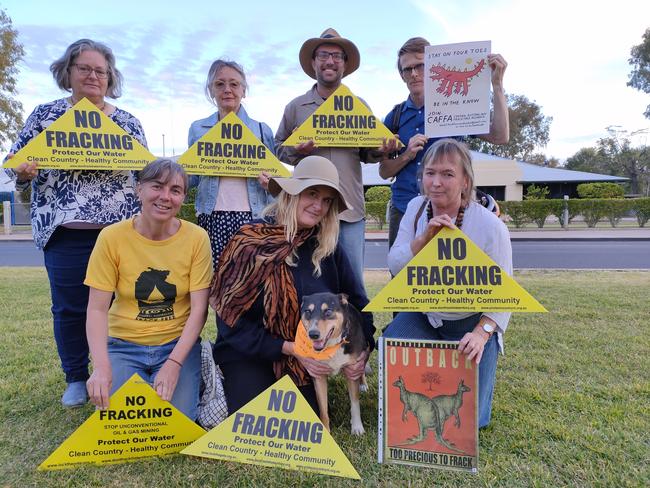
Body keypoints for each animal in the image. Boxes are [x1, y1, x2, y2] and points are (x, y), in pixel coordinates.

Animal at [300, 292, 370, 436]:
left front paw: (357, 427)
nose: (313, 334)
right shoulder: (318, 376)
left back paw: (363, 384)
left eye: (328, 311)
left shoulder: (352, 368)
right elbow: (323, 409)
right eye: (308, 311)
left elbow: (355, 404)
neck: (332, 346)